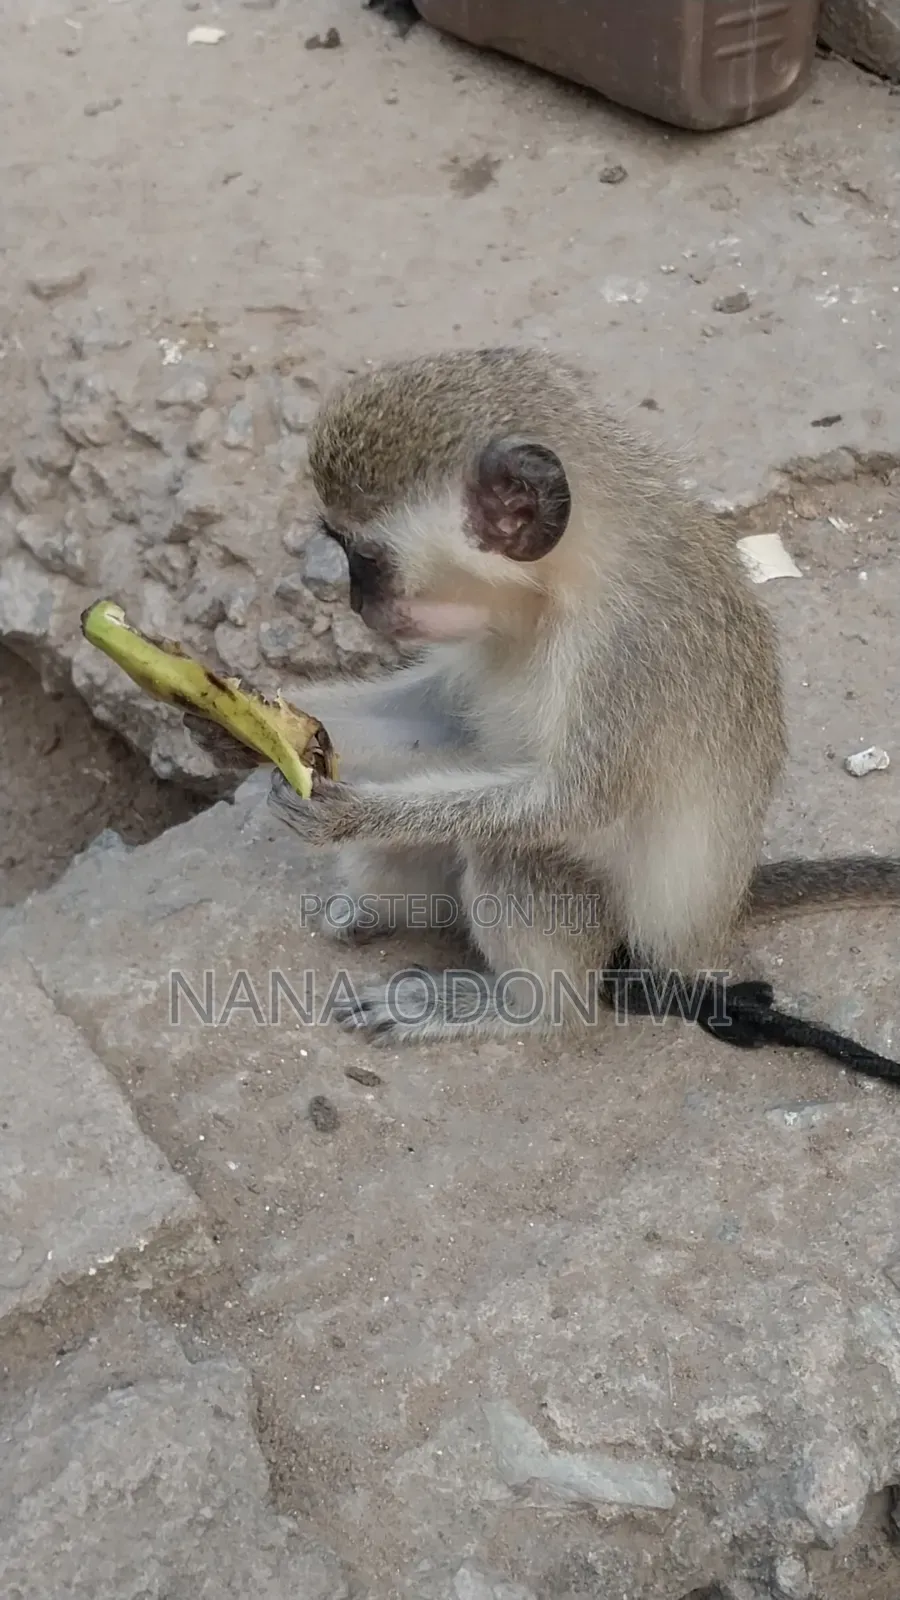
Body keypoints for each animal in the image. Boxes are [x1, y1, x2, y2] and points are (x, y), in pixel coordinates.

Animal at [187, 346, 900, 1080]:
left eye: (367, 558)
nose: (357, 604)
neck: (556, 589)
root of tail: (717, 918)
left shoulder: (629, 647)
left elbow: (575, 801)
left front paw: (349, 815)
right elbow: (440, 721)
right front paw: (227, 720)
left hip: (608, 928)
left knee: (509, 849)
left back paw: (524, 1007)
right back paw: (371, 915)